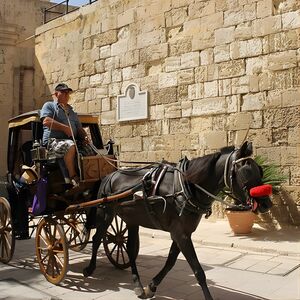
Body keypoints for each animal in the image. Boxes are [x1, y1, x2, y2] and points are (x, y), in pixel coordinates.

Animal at [83, 141, 274, 300]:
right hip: (105, 214)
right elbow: (198, 270)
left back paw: (137, 285)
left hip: (131, 219)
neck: (186, 187)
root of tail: (111, 175)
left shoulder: (181, 233)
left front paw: (152, 287)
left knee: (129, 248)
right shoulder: (180, 234)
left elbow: (170, 261)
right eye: (246, 170)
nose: (267, 203)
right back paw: (90, 268)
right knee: (97, 238)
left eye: (259, 169)